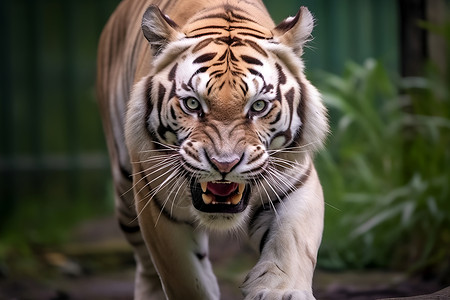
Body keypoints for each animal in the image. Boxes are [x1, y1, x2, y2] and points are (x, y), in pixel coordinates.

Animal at [96, 0, 328, 298]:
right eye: (192, 104)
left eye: (258, 106)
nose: (224, 164)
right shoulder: (157, 204)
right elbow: (185, 277)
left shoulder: (295, 181)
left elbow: (291, 244)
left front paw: (280, 290)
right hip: (125, 193)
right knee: (146, 263)